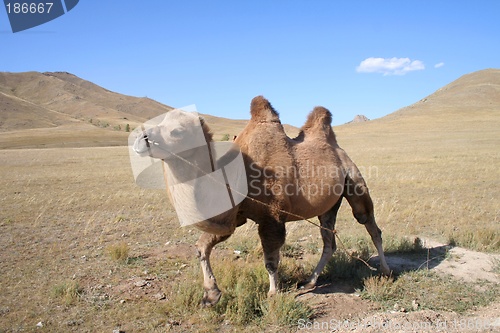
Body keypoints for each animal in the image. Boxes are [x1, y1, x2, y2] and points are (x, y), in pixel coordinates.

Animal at [133, 95, 390, 304]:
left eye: (176, 131)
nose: (139, 138)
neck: (236, 174)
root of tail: (339, 149)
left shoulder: (272, 217)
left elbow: (270, 259)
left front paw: (273, 293)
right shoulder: (233, 218)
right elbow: (201, 247)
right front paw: (211, 295)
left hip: (354, 179)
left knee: (370, 224)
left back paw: (386, 270)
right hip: (328, 205)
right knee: (329, 242)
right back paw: (309, 282)